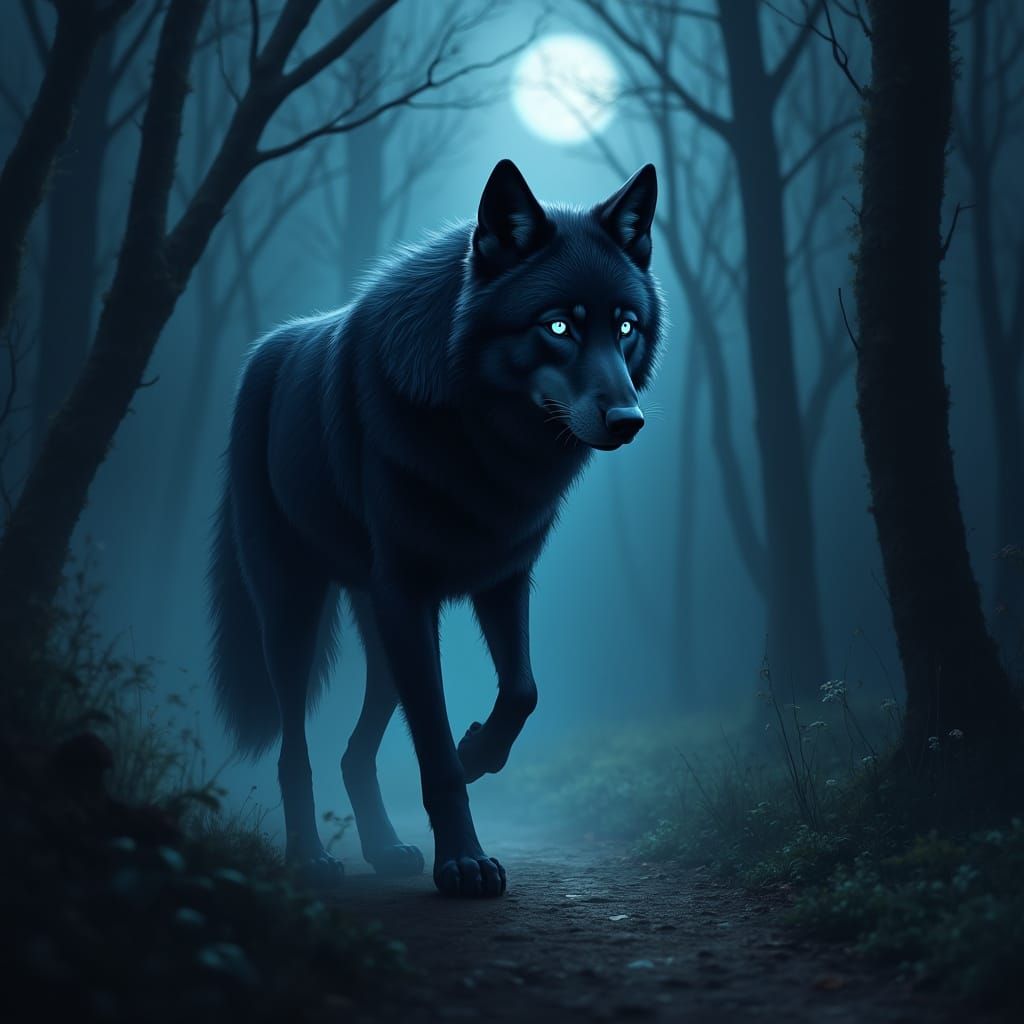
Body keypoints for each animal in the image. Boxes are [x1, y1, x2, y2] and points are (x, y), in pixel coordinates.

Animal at [209, 159, 663, 897]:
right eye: (559, 326)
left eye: (625, 327)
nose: (629, 421)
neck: (484, 445)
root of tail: (262, 354)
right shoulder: (409, 596)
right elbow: (434, 755)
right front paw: (464, 862)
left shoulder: (503, 580)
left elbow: (523, 691)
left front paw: (478, 750)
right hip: (294, 612)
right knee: (295, 751)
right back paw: (310, 858)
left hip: (380, 632)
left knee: (354, 752)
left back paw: (386, 849)